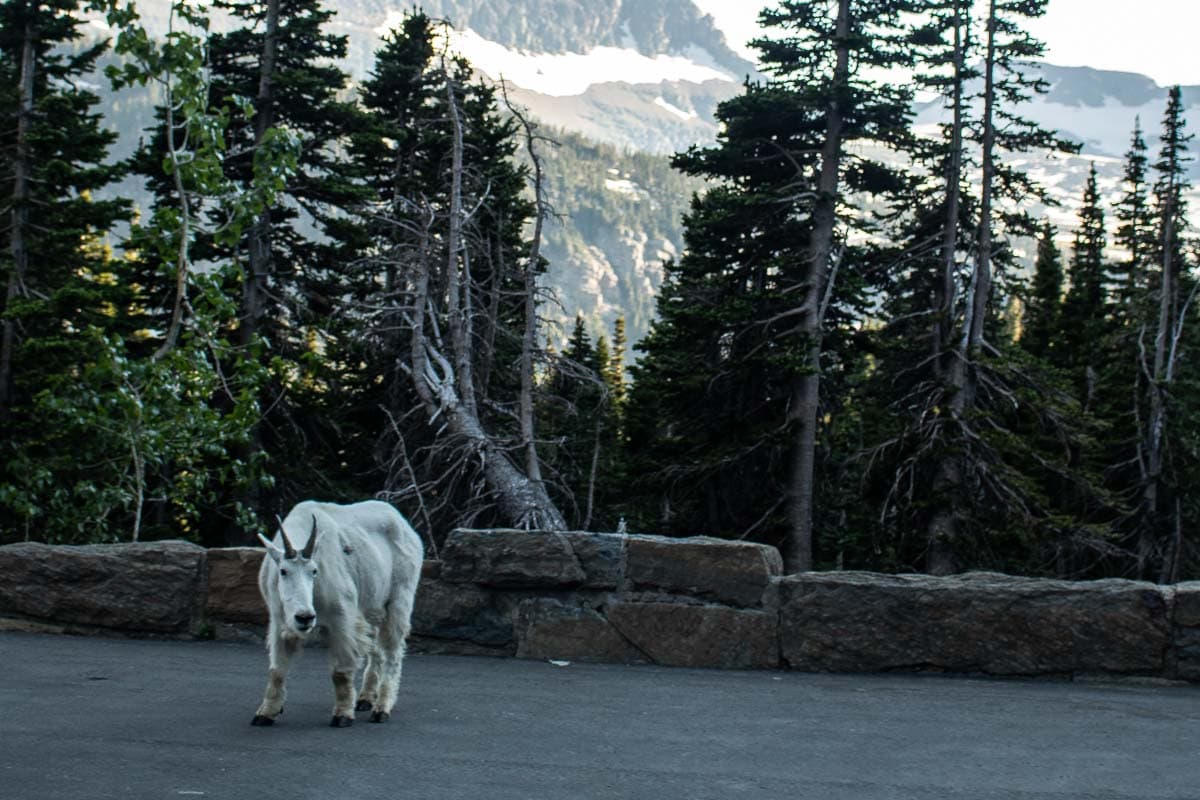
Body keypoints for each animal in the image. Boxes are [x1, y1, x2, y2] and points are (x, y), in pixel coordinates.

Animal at [250, 501, 424, 724]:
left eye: (314, 571)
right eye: (283, 571)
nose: (305, 618)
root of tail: (406, 526)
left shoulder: (342, 618)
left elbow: (340, 672)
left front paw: (342, 715)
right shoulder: (280, 621)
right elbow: (277, 670)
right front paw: (266, 713)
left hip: (400, 597)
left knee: (393, 651)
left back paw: (382, 708)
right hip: (373, 603)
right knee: (376, 649)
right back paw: (365, 698)